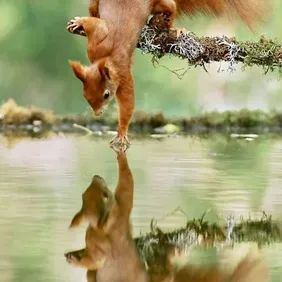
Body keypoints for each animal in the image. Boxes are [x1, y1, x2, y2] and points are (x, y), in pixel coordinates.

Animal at [66, 0, 268, 149]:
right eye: (85, 95)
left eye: (106, 95)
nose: (98, 113)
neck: (105, 58)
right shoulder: (96, 43)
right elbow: (94, 23)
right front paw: (79, 22)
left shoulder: (123, 74)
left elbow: (128, 104)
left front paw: (122, 133)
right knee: (94, 9)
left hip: (162, 4)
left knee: (170, 9)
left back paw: (174, 28)